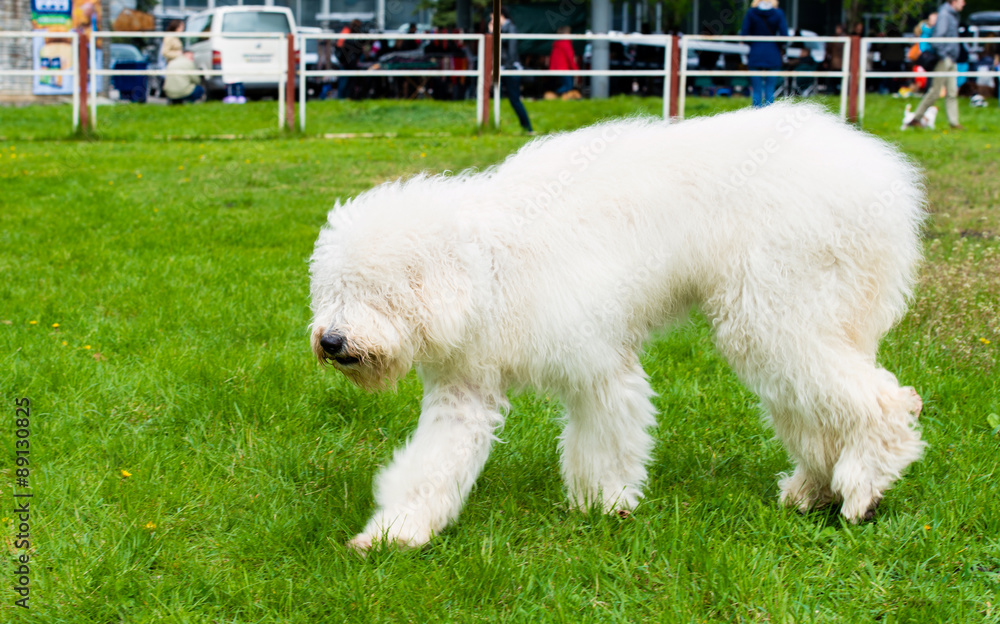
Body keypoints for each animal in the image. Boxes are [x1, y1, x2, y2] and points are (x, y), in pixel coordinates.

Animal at [308, 102, 924, 552]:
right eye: (334, 289)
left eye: (376, 291)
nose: (331, 342)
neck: (485, 269)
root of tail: (879, 170)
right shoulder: (463, 390)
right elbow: (433, 463)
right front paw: (396, 532)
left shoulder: (598, 365)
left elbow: (604, 438)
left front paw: (603, 505)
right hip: (792, 325)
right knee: (818, 416)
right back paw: (813, 490)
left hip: (778, 319)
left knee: (884, 401)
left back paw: (864, 486)